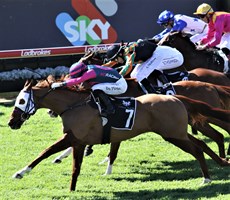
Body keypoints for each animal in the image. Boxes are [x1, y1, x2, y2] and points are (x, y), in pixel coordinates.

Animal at [7, 78, 230, 191]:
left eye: (21, 101)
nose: (11, 122)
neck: (73, 105)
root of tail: (176, 98)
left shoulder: (72, 137)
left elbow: (46, 152)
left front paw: (20, 172)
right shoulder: (79, 140)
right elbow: (75, 168)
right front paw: (72, 189)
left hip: (174, 135)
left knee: (198, 149)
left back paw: (207, 179)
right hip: (177, 133)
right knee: (202, 144)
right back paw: (220, 162)